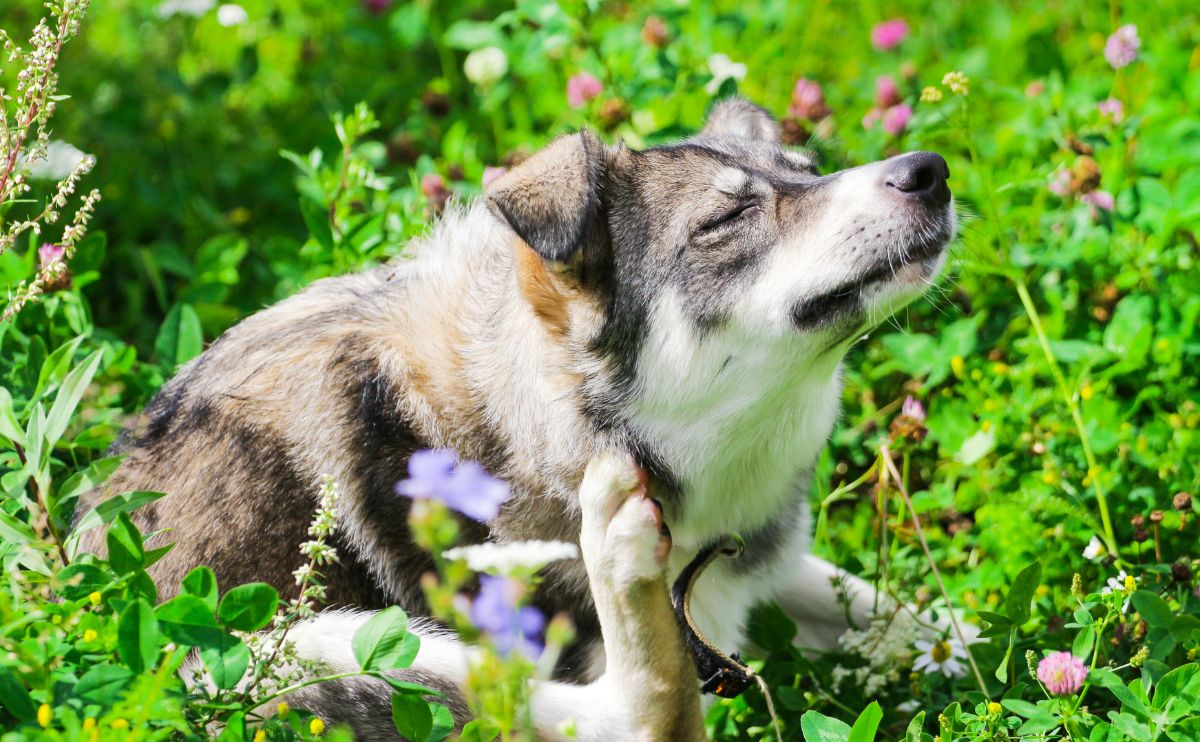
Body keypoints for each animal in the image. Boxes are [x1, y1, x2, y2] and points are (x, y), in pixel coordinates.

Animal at [77, 98, 955, 739]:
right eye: (724, 221)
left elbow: (911, 617)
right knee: (636, 717)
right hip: (295, 650)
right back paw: (620, 554)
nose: (930, 171)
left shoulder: (755, 573)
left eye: (811, 171)